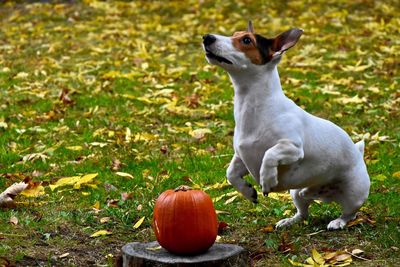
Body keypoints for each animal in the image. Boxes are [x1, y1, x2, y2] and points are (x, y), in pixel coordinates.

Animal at [205, 21, 370, 230]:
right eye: (235, 34)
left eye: (246, 40)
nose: (207, 37)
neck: (255, 107)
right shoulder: (241, 156)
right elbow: (231, 173)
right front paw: (248, 191)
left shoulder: (293, 148)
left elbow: (269, 155)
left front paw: (267, 179)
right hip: (296, 193)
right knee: (303, 211)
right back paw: (289, 220)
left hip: (354, 194)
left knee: (350, 213)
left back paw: (338, 222)